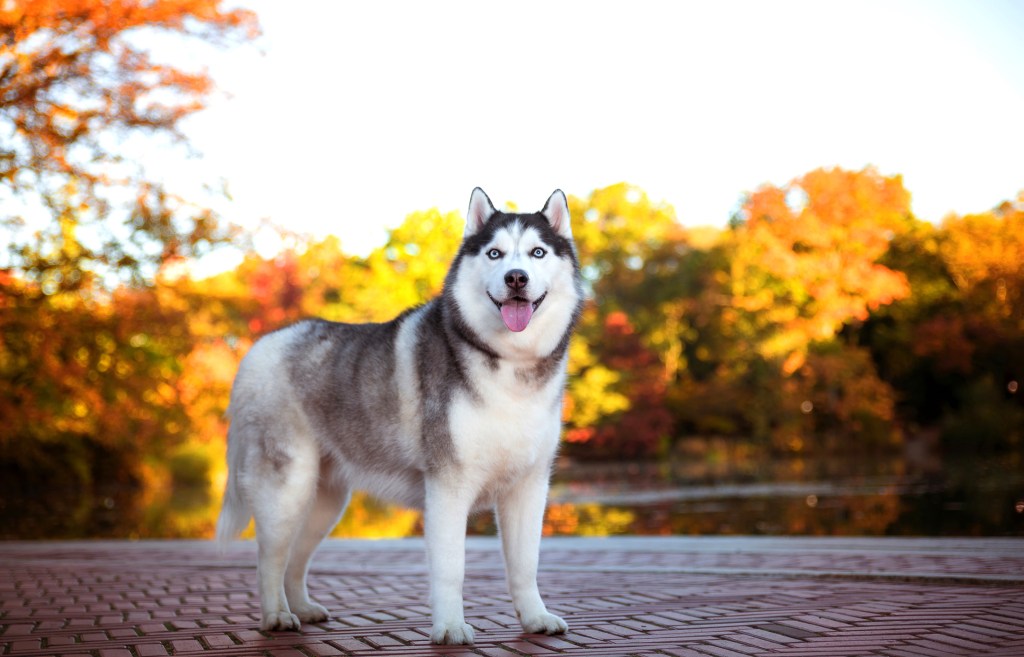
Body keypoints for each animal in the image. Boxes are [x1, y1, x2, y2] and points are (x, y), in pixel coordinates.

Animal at [216, 186, 581, 642]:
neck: (511, 364)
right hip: (286, 489)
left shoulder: (529, 486)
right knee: (269, 558)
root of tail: (259, 346)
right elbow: (451, 568)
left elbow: (525, 565)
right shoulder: (447, 487)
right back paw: (276, 617)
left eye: (537, 252)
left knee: (295, 558)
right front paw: (450, 627)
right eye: (495, 254)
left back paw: (301, 607)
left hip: (326, 500)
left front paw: (535, 618)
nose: (517, 277)